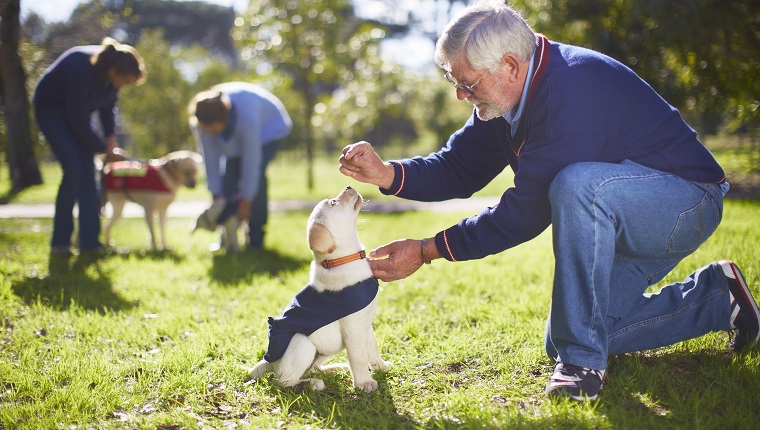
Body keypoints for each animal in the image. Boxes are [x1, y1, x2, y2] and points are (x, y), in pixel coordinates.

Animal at [248, 186, 392, 392]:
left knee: (313, 367)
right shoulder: (353, 330)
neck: (342, 260)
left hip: (328, 348)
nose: (348, 186)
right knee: (283, 380)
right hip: (302, 343)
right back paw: (312, 383)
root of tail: (268, 362)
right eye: (333, 202)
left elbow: (372, 346)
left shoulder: (366, 325)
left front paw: (380, 366)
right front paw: (364, 383)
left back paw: (333, 369)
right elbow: (358, 358)